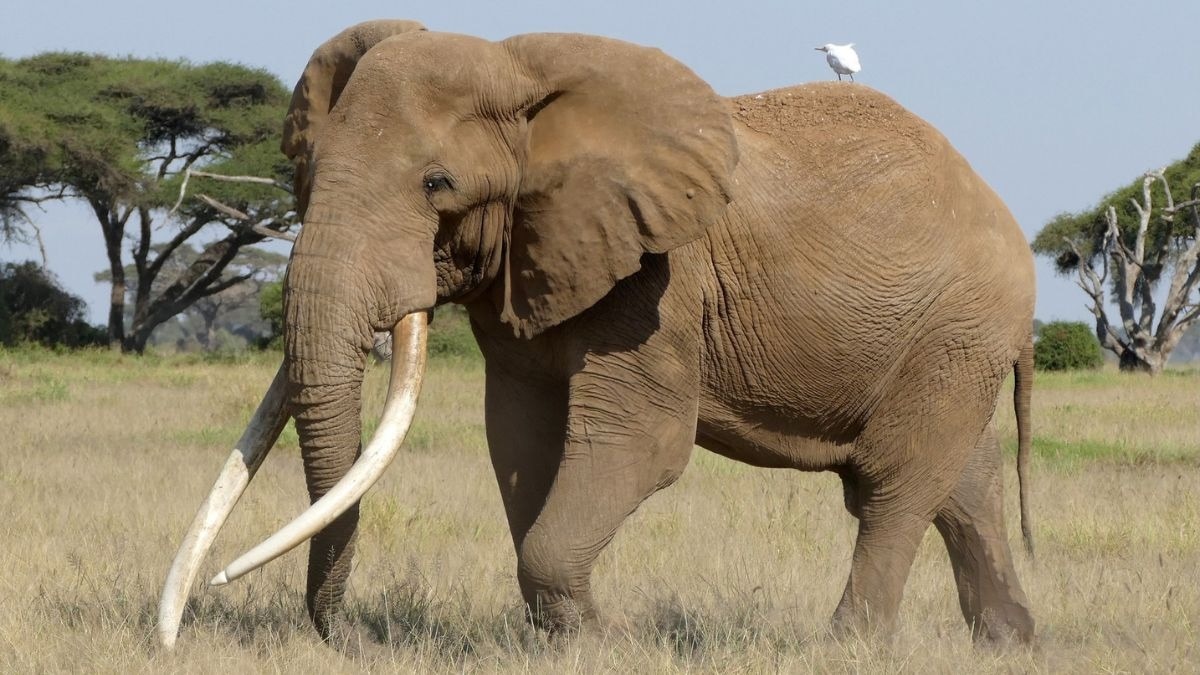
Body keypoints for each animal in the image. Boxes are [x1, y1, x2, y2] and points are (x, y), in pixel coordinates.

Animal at [159, 19, 1037, 648]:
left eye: (437, 184)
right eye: (306, 176)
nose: (346, 638)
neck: (521, 77)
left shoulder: (660, 279)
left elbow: (638, 442)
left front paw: (609, 641)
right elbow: (522, 439)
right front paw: (568, 638)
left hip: (958, 328)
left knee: (894, 484)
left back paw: (848, 647)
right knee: (964, 479)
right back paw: (1009, 642)